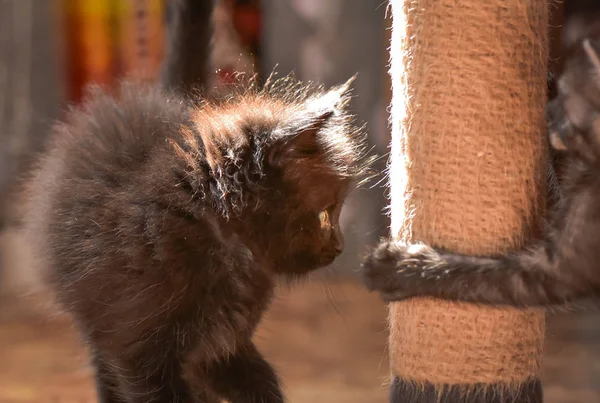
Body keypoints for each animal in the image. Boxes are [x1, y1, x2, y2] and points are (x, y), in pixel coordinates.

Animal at [18, 0, 370, 403]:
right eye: (326, 214)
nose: (340, 246)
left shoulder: (223, 346)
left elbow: (261, 383)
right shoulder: (138, 352)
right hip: (97, 322)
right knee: (103, 368)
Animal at [360, 3, 600, 310]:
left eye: (567, 103)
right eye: (561, 94)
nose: (548, 113)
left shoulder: (555, 271)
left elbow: (472, 275)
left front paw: (399, 268)